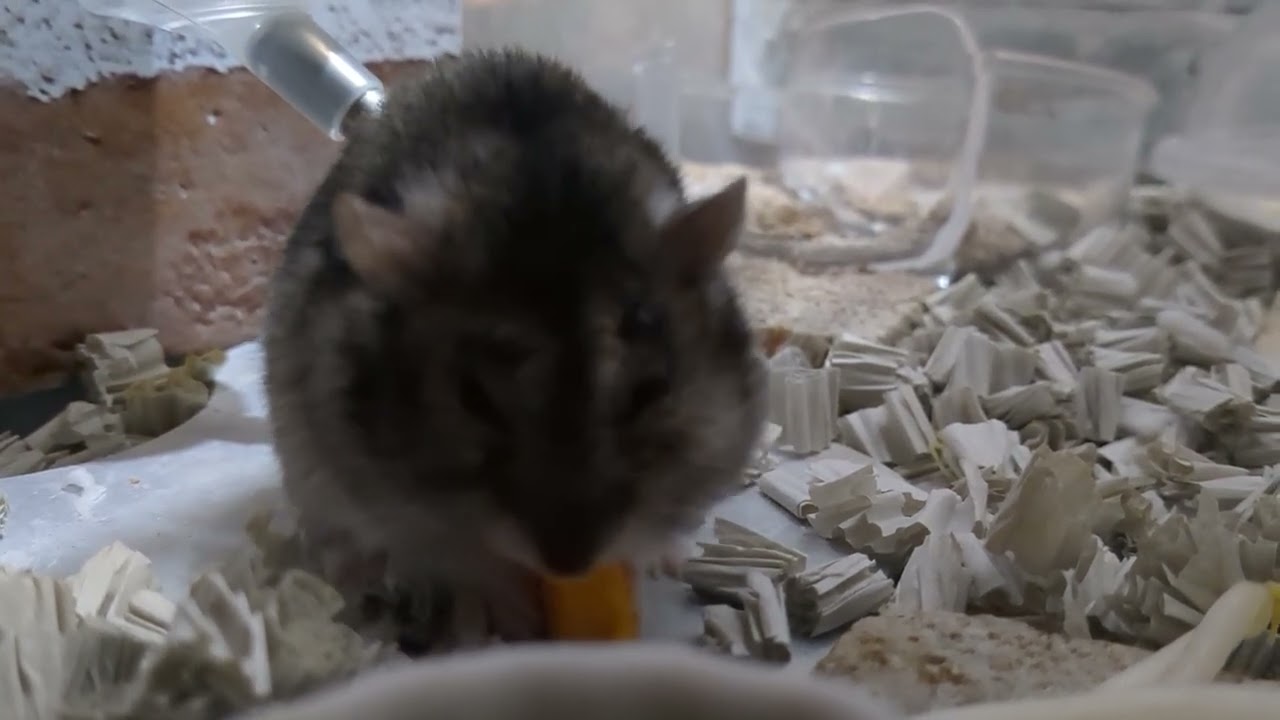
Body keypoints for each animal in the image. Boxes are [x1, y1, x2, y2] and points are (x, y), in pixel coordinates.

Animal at [262, 49, 765, 643]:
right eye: (474, 397)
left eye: (650, 391)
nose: (569, 566)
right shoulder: (396, 505)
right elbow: (465, 559)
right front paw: (517, 611)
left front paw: (644, 565)